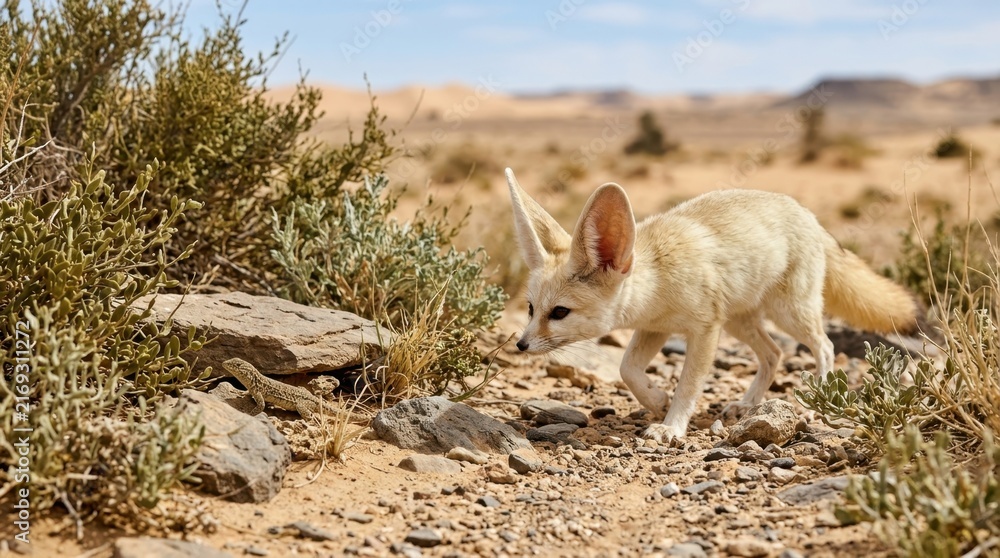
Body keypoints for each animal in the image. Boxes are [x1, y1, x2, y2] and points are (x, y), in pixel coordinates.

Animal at [504, 167, 920, 443]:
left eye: (559, 313)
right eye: (530, 308)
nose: (520, 345)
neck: (656, 277)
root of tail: (808, 214)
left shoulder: (704, 329)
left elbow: (689, 385)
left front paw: (671, 426)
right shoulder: (655, 328)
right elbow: (627, 369)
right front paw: (656, 399)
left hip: (789, 314)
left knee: (825, 345)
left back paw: (815, 396)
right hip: (739, 321)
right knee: (773, 354)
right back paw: (748, 405)